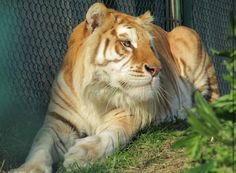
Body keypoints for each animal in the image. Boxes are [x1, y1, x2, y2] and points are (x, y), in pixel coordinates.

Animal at [10, 3, 218, 173]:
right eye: (126, 43)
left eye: (150, 46)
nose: (157, 69)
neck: (94, 93)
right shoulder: (58, 121)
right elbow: (40, 144)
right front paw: (27, 169)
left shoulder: (128, 114)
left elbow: (110, 136)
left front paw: (80, 155)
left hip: (188, 36)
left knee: (211, 103)